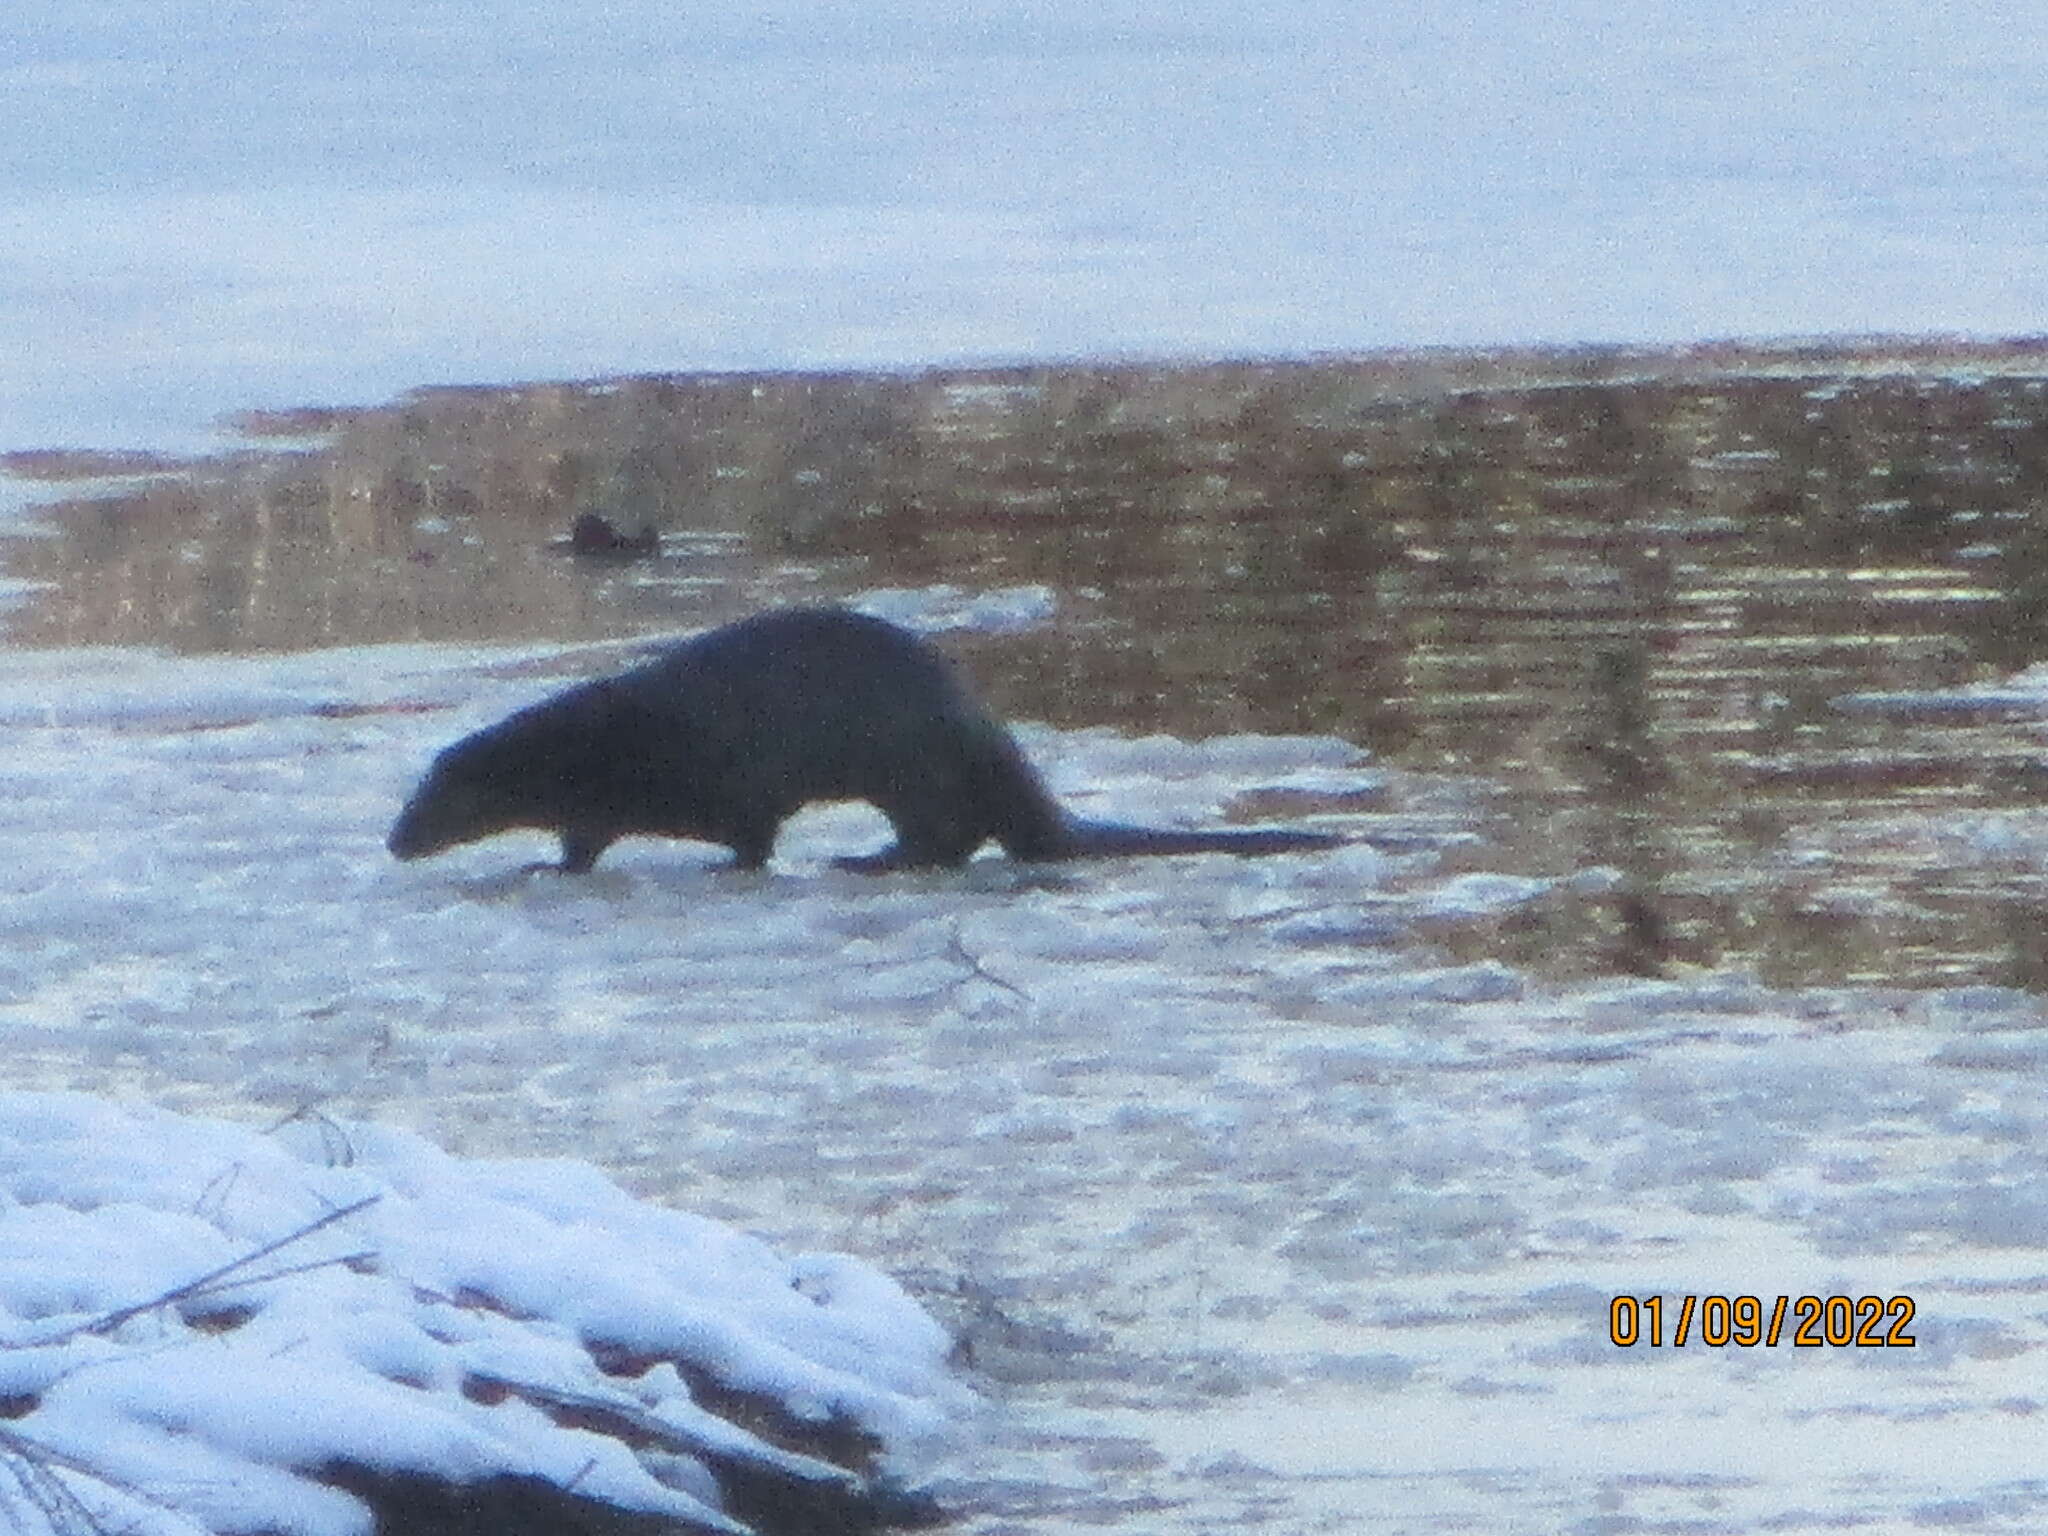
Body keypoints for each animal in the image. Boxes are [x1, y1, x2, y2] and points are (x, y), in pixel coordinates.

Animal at [387, 610, 1343, 876]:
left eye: (430, 799)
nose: (394, 842)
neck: (599, 747)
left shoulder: (725, 781)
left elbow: (751, 836)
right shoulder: (595, 804)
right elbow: (581, 839)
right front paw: (550, 865)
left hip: (915, 768)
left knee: (946, 841)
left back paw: (866, 860)